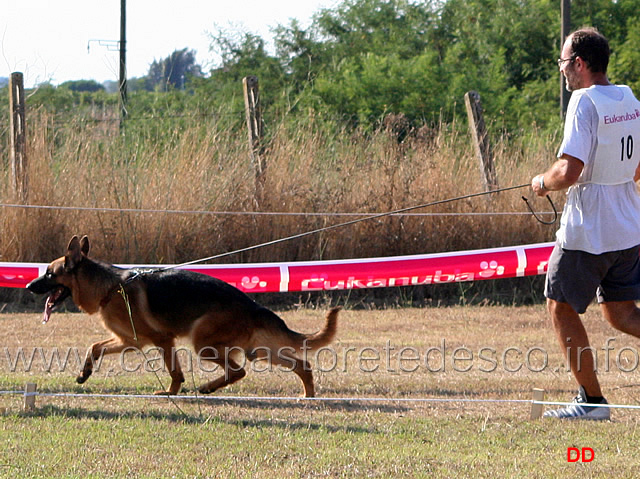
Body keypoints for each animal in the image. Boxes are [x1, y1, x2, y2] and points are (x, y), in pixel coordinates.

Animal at [28, 236, 340, 398]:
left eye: (49, 274)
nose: (30, 286)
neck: (109, 287)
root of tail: (251, 304)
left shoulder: (161, 340)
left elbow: (174, 371)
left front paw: (170, 392)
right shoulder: (130, 341)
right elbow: (94, 347)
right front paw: (84, 373)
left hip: (204, 343)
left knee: (238, 370)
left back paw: (208, 387)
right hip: (256, 350)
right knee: (301, 364)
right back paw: (308, 395)